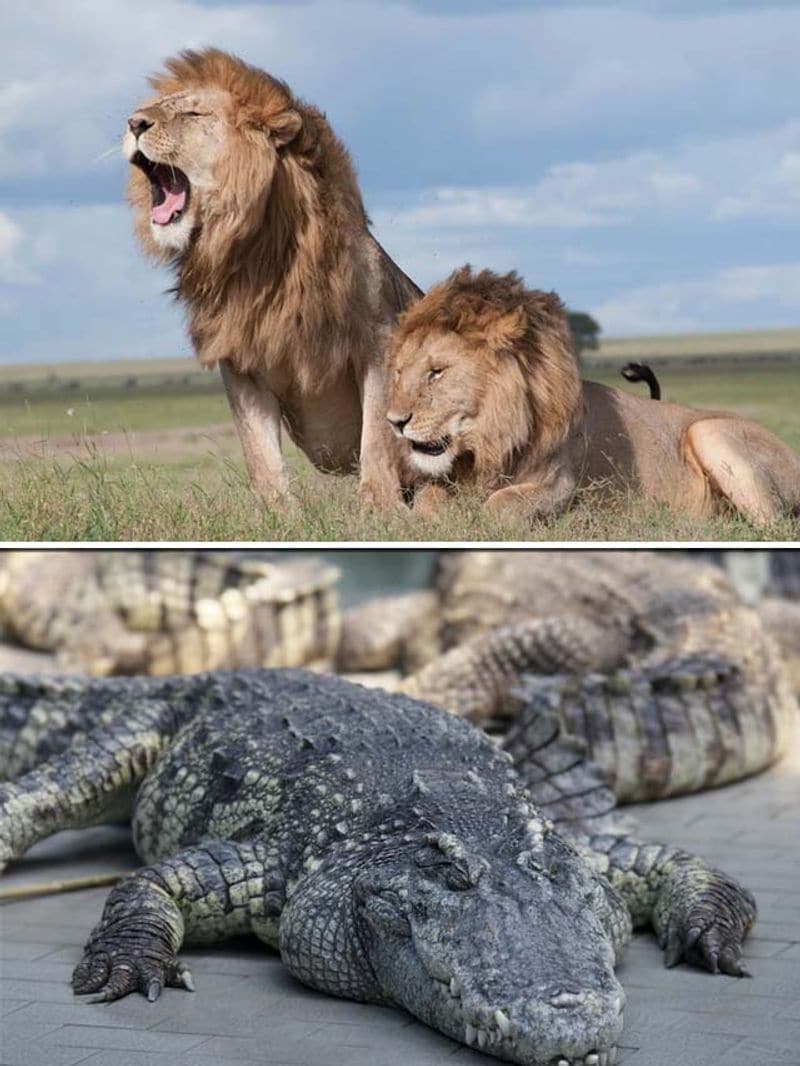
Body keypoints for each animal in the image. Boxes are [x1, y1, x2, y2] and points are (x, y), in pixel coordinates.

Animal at [123, 48, 421, 508]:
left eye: (192, 113)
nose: (134, 123)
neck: (256, 255)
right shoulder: (240, 359)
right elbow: (259, 452)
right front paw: (278, 513)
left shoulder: (378, 340)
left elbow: (376, 436)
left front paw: (379, 507)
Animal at [386, 266, 800, 527]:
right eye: (400, 372)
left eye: (437, 372)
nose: (394, 422)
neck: (490, 440)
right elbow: (428, 502)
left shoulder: (559, 483)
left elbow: (501, 506)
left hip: (710, 431)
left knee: (772, 526)